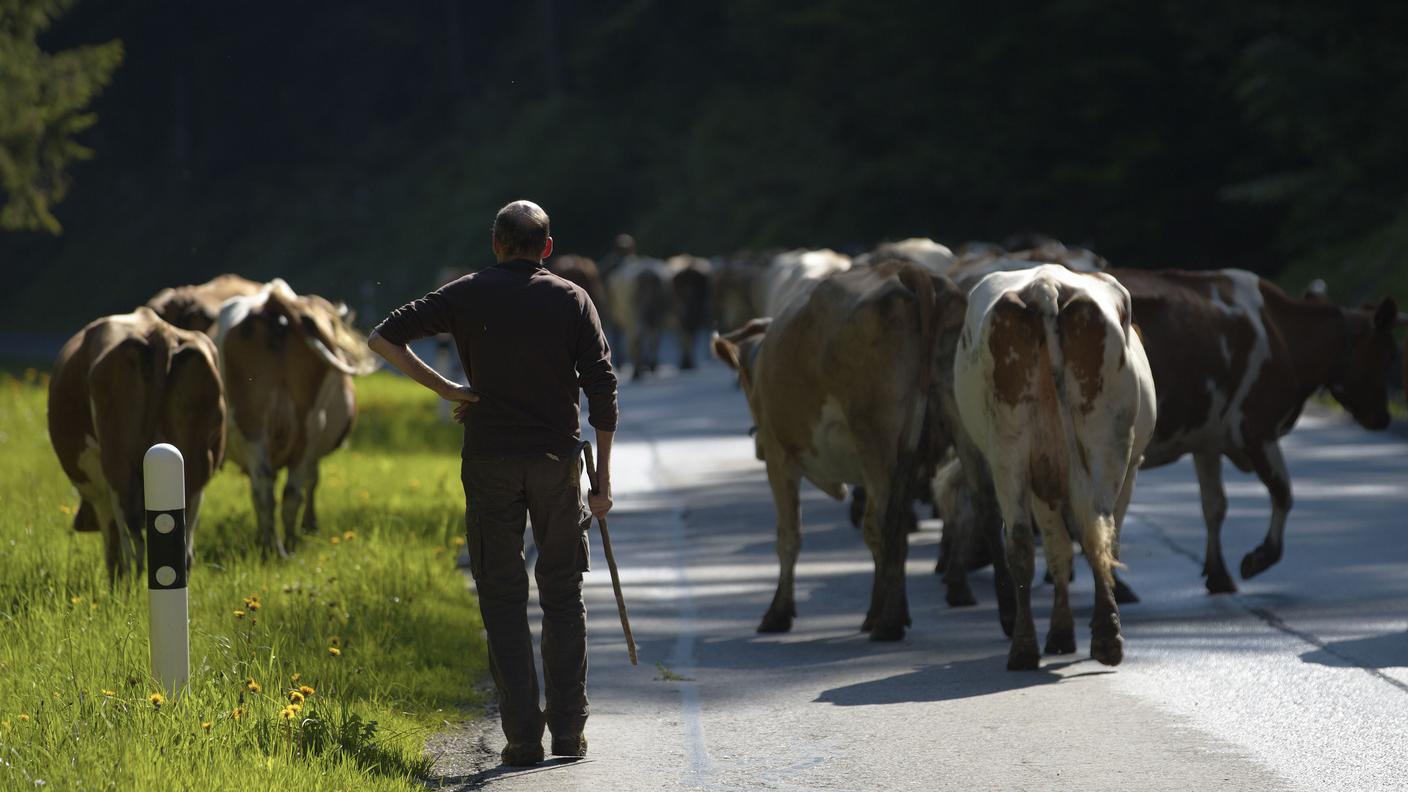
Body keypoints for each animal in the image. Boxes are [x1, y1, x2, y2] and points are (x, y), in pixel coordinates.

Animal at [47, 307, 225, 580]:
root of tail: (158, 330)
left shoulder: (102, 500)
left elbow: (113, 550)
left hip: (118, 468)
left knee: (133, 548)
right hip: (197, 470)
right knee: (184, 551)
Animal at [215, 277, 380, 555]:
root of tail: (273, 298)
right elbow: (312, 482)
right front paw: (310, 526)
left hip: (254, 424)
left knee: (266, 490)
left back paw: (274, 547)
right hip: (307, 426)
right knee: (289, 492)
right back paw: (287, 545)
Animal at [709, 256, 974, 636]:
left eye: (744, 381)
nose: (755, 441)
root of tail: (914, 274)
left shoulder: (778, 457)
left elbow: (789, 535)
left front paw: (778, 612)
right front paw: (874, 611)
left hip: (877, 440)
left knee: (889, 526)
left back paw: (889, 623)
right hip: (959, 428)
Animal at [951, 263, 1160, 665]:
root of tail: (1045, 286)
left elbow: (1060, 548)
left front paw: (1061, 632)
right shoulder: (1129, 470)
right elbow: (1083, 547)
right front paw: (1064, 631)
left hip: (1011, 445)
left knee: (1022, 540)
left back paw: (1024, 648)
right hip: (1103, 440)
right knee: (1094, 529)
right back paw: (1104, 638)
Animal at [1109, 267, 1396, 589]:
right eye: (1387, 355)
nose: (1384, 418)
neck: (1282, 334)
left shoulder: (1207, 439)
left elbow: (1214, 505)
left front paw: (1219, 574)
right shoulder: (1256, 429)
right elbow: (1283, 492)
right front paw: (1258, 559)